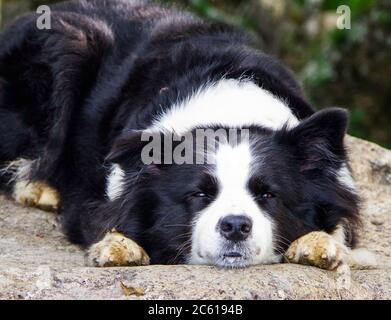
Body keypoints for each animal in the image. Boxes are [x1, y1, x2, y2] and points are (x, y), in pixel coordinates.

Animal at [0, 0, 370, 270]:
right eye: (198, 194)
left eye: (268, 195)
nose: (235, 226)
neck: (229, 111)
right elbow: (106, 215)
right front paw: (118, 248)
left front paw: (319, 245)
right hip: (70, 42)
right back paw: (38, 189)